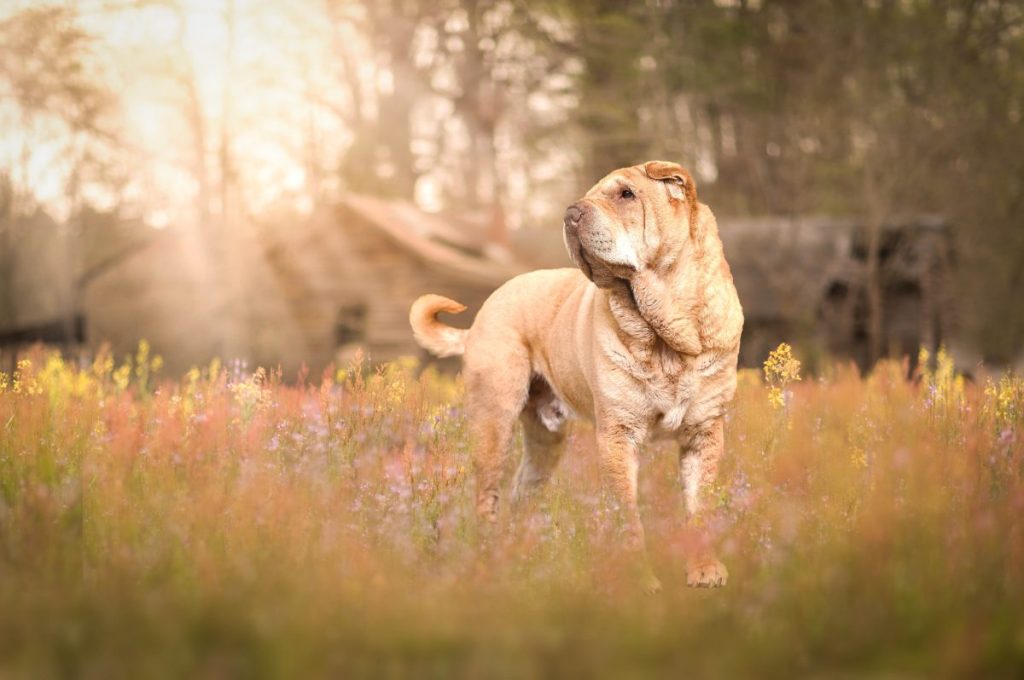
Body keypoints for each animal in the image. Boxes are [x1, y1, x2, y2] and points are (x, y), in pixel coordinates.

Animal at [409, 160, 745, 589]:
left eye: (626, 194)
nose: (570, 214)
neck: (664, 334)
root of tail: (487, 307)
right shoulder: (617, 435)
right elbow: (626, 515)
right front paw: (639, 579)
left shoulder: (704, 433)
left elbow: (700, 506)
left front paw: (705, 569)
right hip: (493, 422)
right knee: (487, 497)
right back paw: (490, 563)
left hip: (545, 442)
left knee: (522, 493)